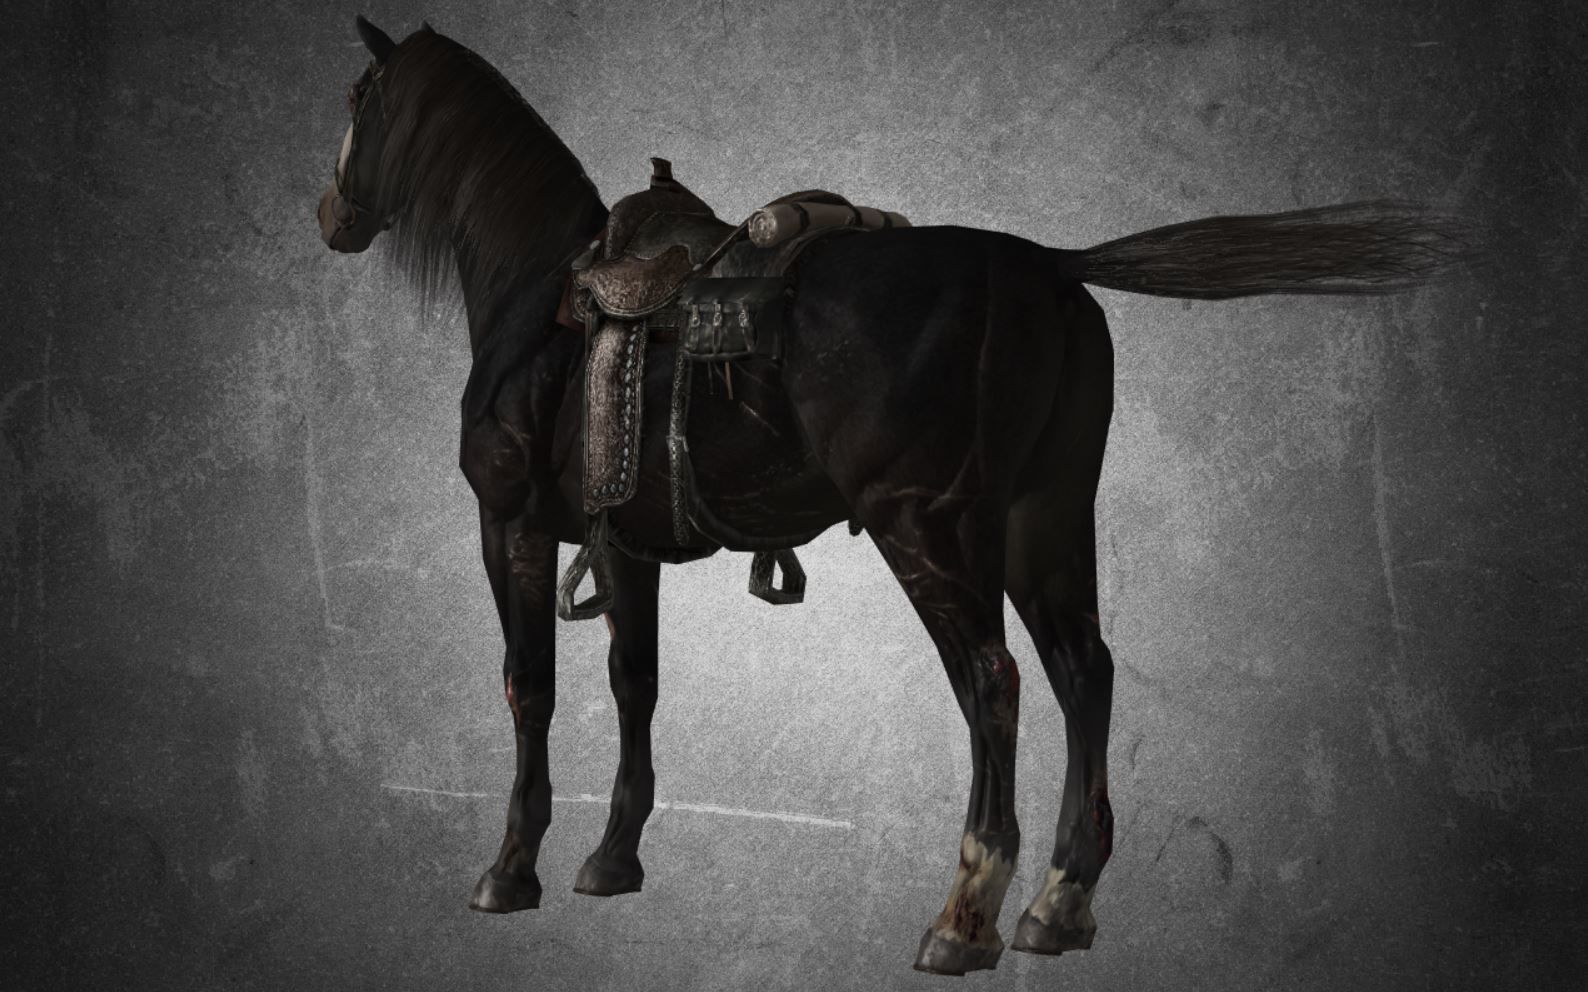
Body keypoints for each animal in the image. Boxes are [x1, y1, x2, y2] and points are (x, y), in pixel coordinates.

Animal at [315, 16, 1467, 976]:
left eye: (361, 100)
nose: (330, 212)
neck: (542, 301)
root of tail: (1040, 267)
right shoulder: (626, 548)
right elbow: (634, 685)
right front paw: (614, 858)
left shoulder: (507, 524)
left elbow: (530, 688)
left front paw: (511, 869)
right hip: (1046, 521)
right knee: (1082, 671)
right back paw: (1060, 901)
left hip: (931, 529)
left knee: (994, 681)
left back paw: (966, 913)